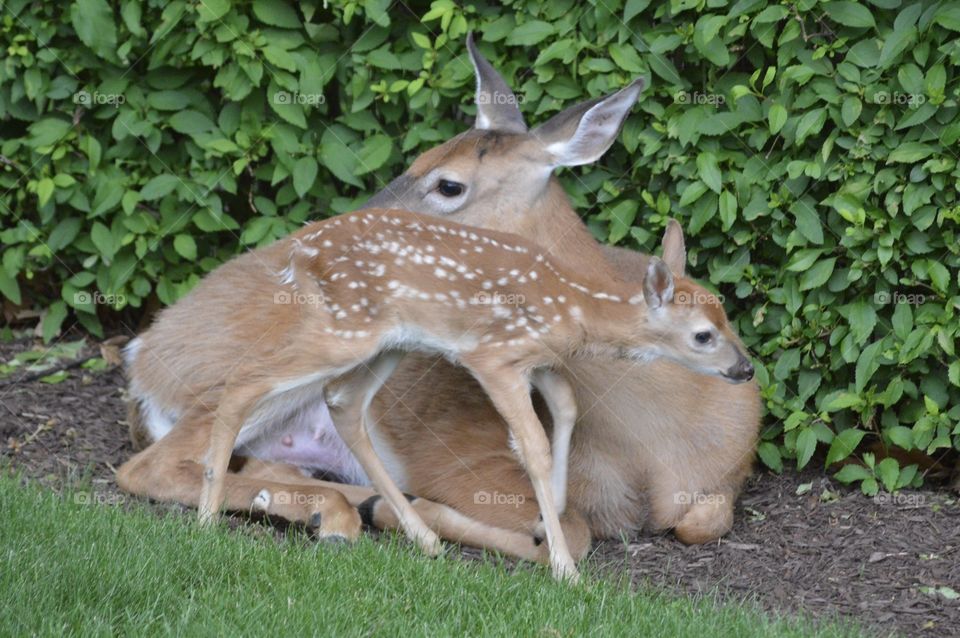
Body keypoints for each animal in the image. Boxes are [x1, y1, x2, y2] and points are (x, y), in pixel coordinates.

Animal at [118, 34, 761, 569]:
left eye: (447, 183)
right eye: (415, 160)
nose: (348, 223)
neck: (657, 441)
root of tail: (143, 354)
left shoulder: (725, 478)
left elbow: (702, 521)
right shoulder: (466, 458)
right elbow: (573, 525)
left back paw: (337, 510)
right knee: (153, 463)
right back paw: (353, 510)